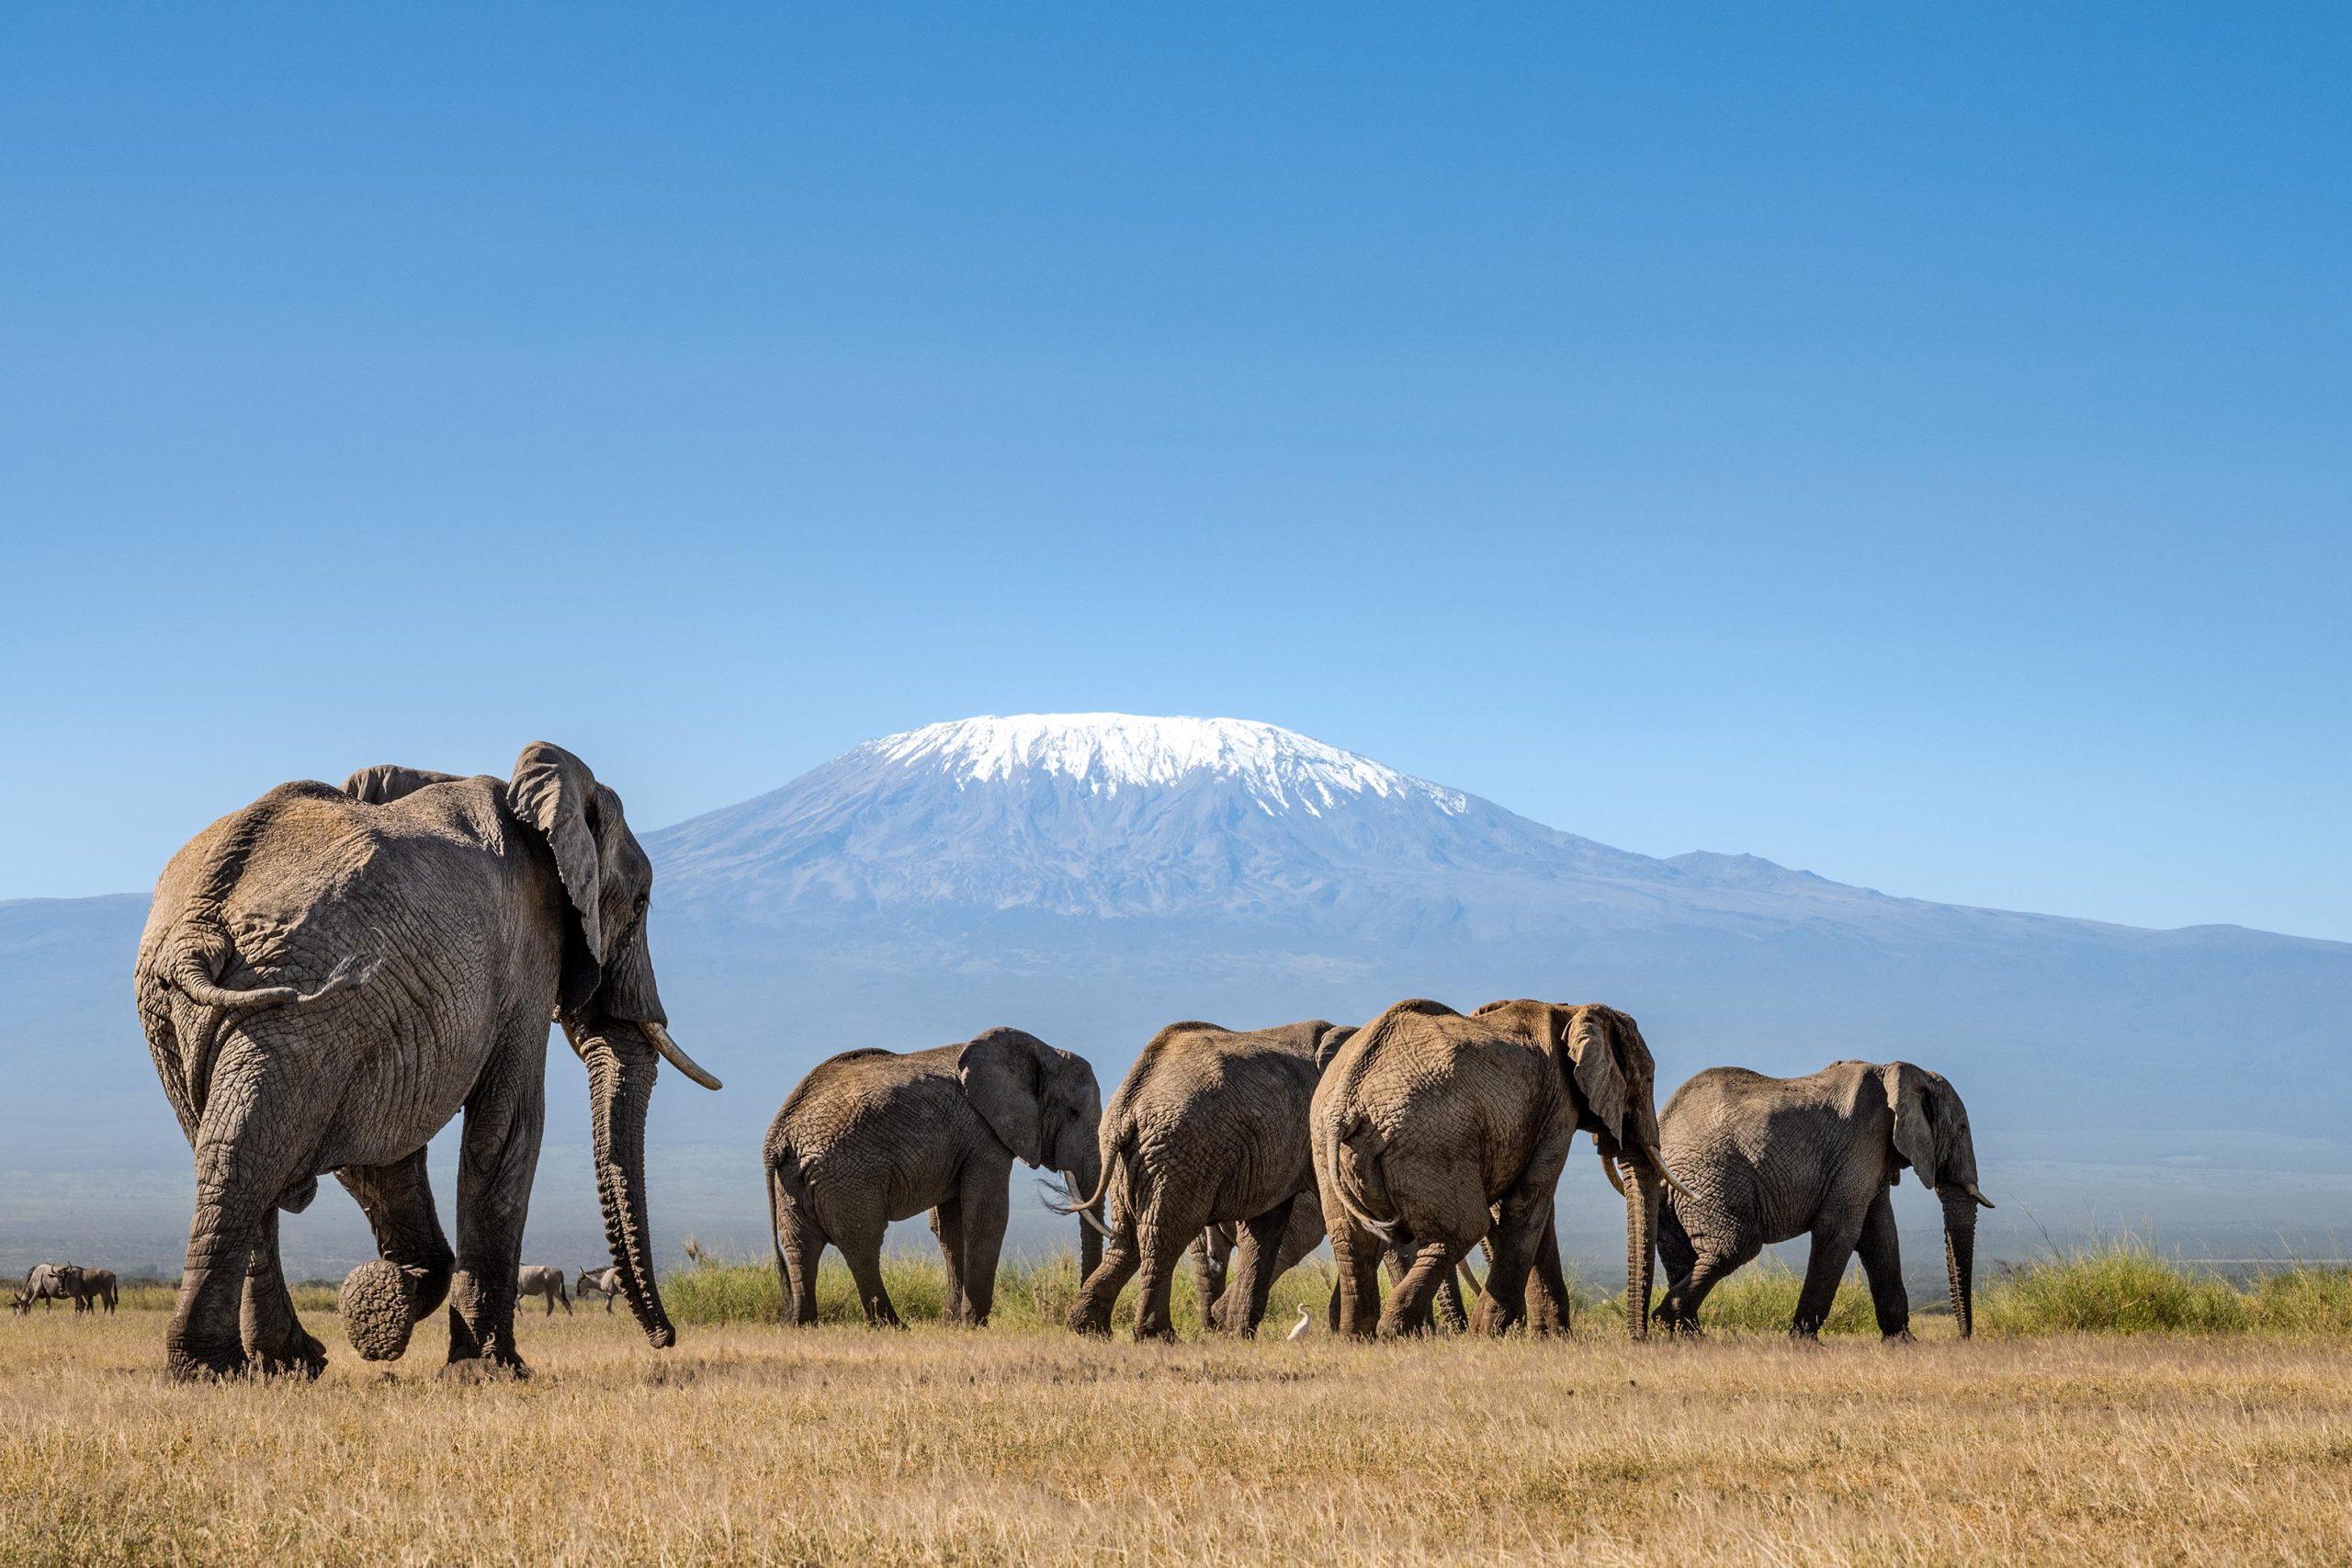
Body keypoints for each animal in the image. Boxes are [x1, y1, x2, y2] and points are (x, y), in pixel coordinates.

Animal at [134, 742, 719, 1382]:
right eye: (640, 903)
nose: (665, 1338)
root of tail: (200, 924)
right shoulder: (524, 952)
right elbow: (509, 1126)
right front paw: (489, 1370)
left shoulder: (384, 1014)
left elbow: (380, 1154)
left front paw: (385, 1304)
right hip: (290, 1003)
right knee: (247, 1150)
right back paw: (219, 1369)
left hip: (201, 1015)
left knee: (229, 1146)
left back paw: (281, 1363)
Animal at [766, 1034, 1105, 1335]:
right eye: (1073, 1112)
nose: (1080, 1324)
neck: (1041, 1050)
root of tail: (778, 1135)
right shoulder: (984, 1134)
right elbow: (987, 1217)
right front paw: (975, 1324)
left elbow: (951, 1228)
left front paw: (953, 1324)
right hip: (848, 1175)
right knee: (862, 1242)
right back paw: (893, 1326)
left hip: (793, 1180)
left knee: (800, 1246)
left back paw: (802, 1324)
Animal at [1063, 1024, 1354, 1344]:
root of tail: (1131, 1098)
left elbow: (1263, 1230)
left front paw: (1239, 1334)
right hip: (1183, 1152)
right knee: (1165, 1235)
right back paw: (1158, 1336)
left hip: (1133, 1158)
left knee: (1128, 1239)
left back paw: (1088, 1328)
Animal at [1317, 1001, 1683, 1344]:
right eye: (1648, 1079)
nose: (1639, 1337)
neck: (1572, 1010)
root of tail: (1349, 1094)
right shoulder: (1557, 1105)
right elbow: (1531, 1199)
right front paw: (1492, 1332)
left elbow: (1535, 1209)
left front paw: (1549, 1336)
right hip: (1431, 1140)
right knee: (1460, 1230)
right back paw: (1395, 1332)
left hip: (1329, 1147)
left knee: (1351, 1240)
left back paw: (1359, 1337)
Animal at [1646, 1053, 1994, 1335]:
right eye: (1962, 1128)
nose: (1963, 1337)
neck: (1899, 1071)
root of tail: (1664, 1124)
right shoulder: (1862, 1142)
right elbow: (1840, 1229)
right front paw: (1803, 1341)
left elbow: (1880, 1235)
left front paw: (1902, 1342)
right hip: (1710, 1178)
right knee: (1735, 1245)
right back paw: (1668, 1321)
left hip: (1681, 1189)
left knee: (1683, 1254)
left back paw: (1687, 1334)